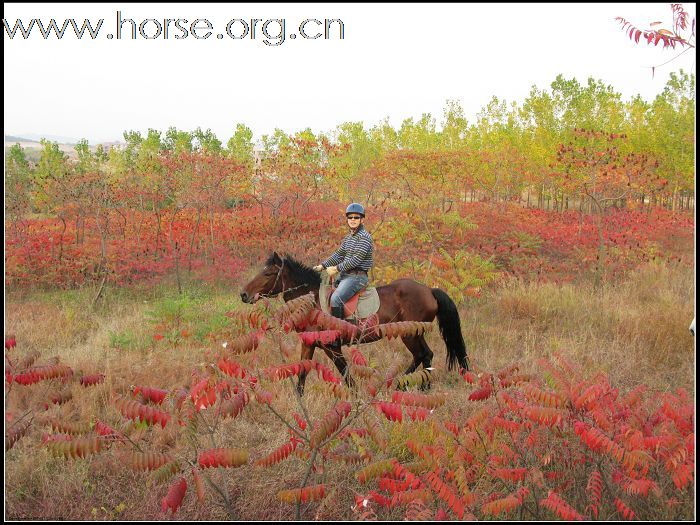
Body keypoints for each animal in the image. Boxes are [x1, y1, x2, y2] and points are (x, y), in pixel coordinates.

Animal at [242, 251, 470, 392]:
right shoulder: (309, 344)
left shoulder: (332, 347)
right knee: (426, 355)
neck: (314, 303)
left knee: (422, 355)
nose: (244, 295)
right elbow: (302, 375)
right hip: (414, 334)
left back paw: (399, 385)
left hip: (409, 334)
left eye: (269, 273)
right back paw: (416, 386)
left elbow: (347, 377)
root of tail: (429, 291)